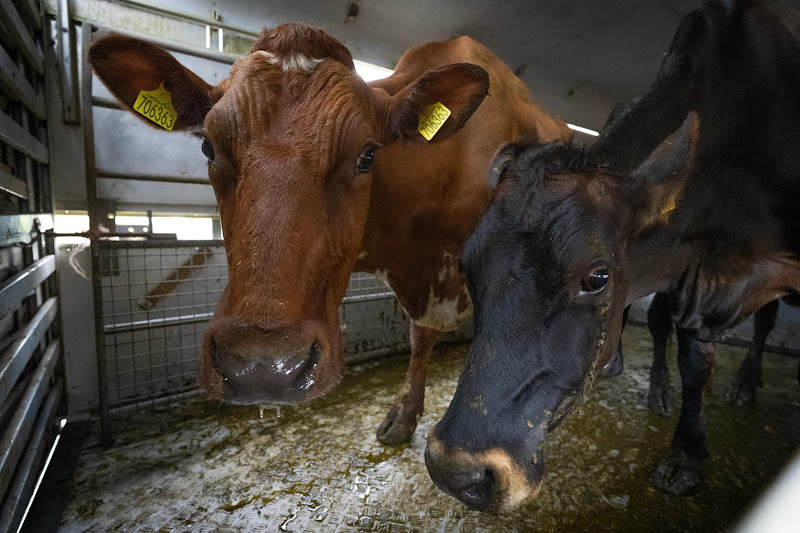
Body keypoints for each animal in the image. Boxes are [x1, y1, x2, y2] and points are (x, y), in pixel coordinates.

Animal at [425, 0, 800, 513]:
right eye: (467, 265)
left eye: (597, 277)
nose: (456, 471)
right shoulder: (693, 280)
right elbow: (693, 361)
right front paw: (687, 453)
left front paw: (685, 458)